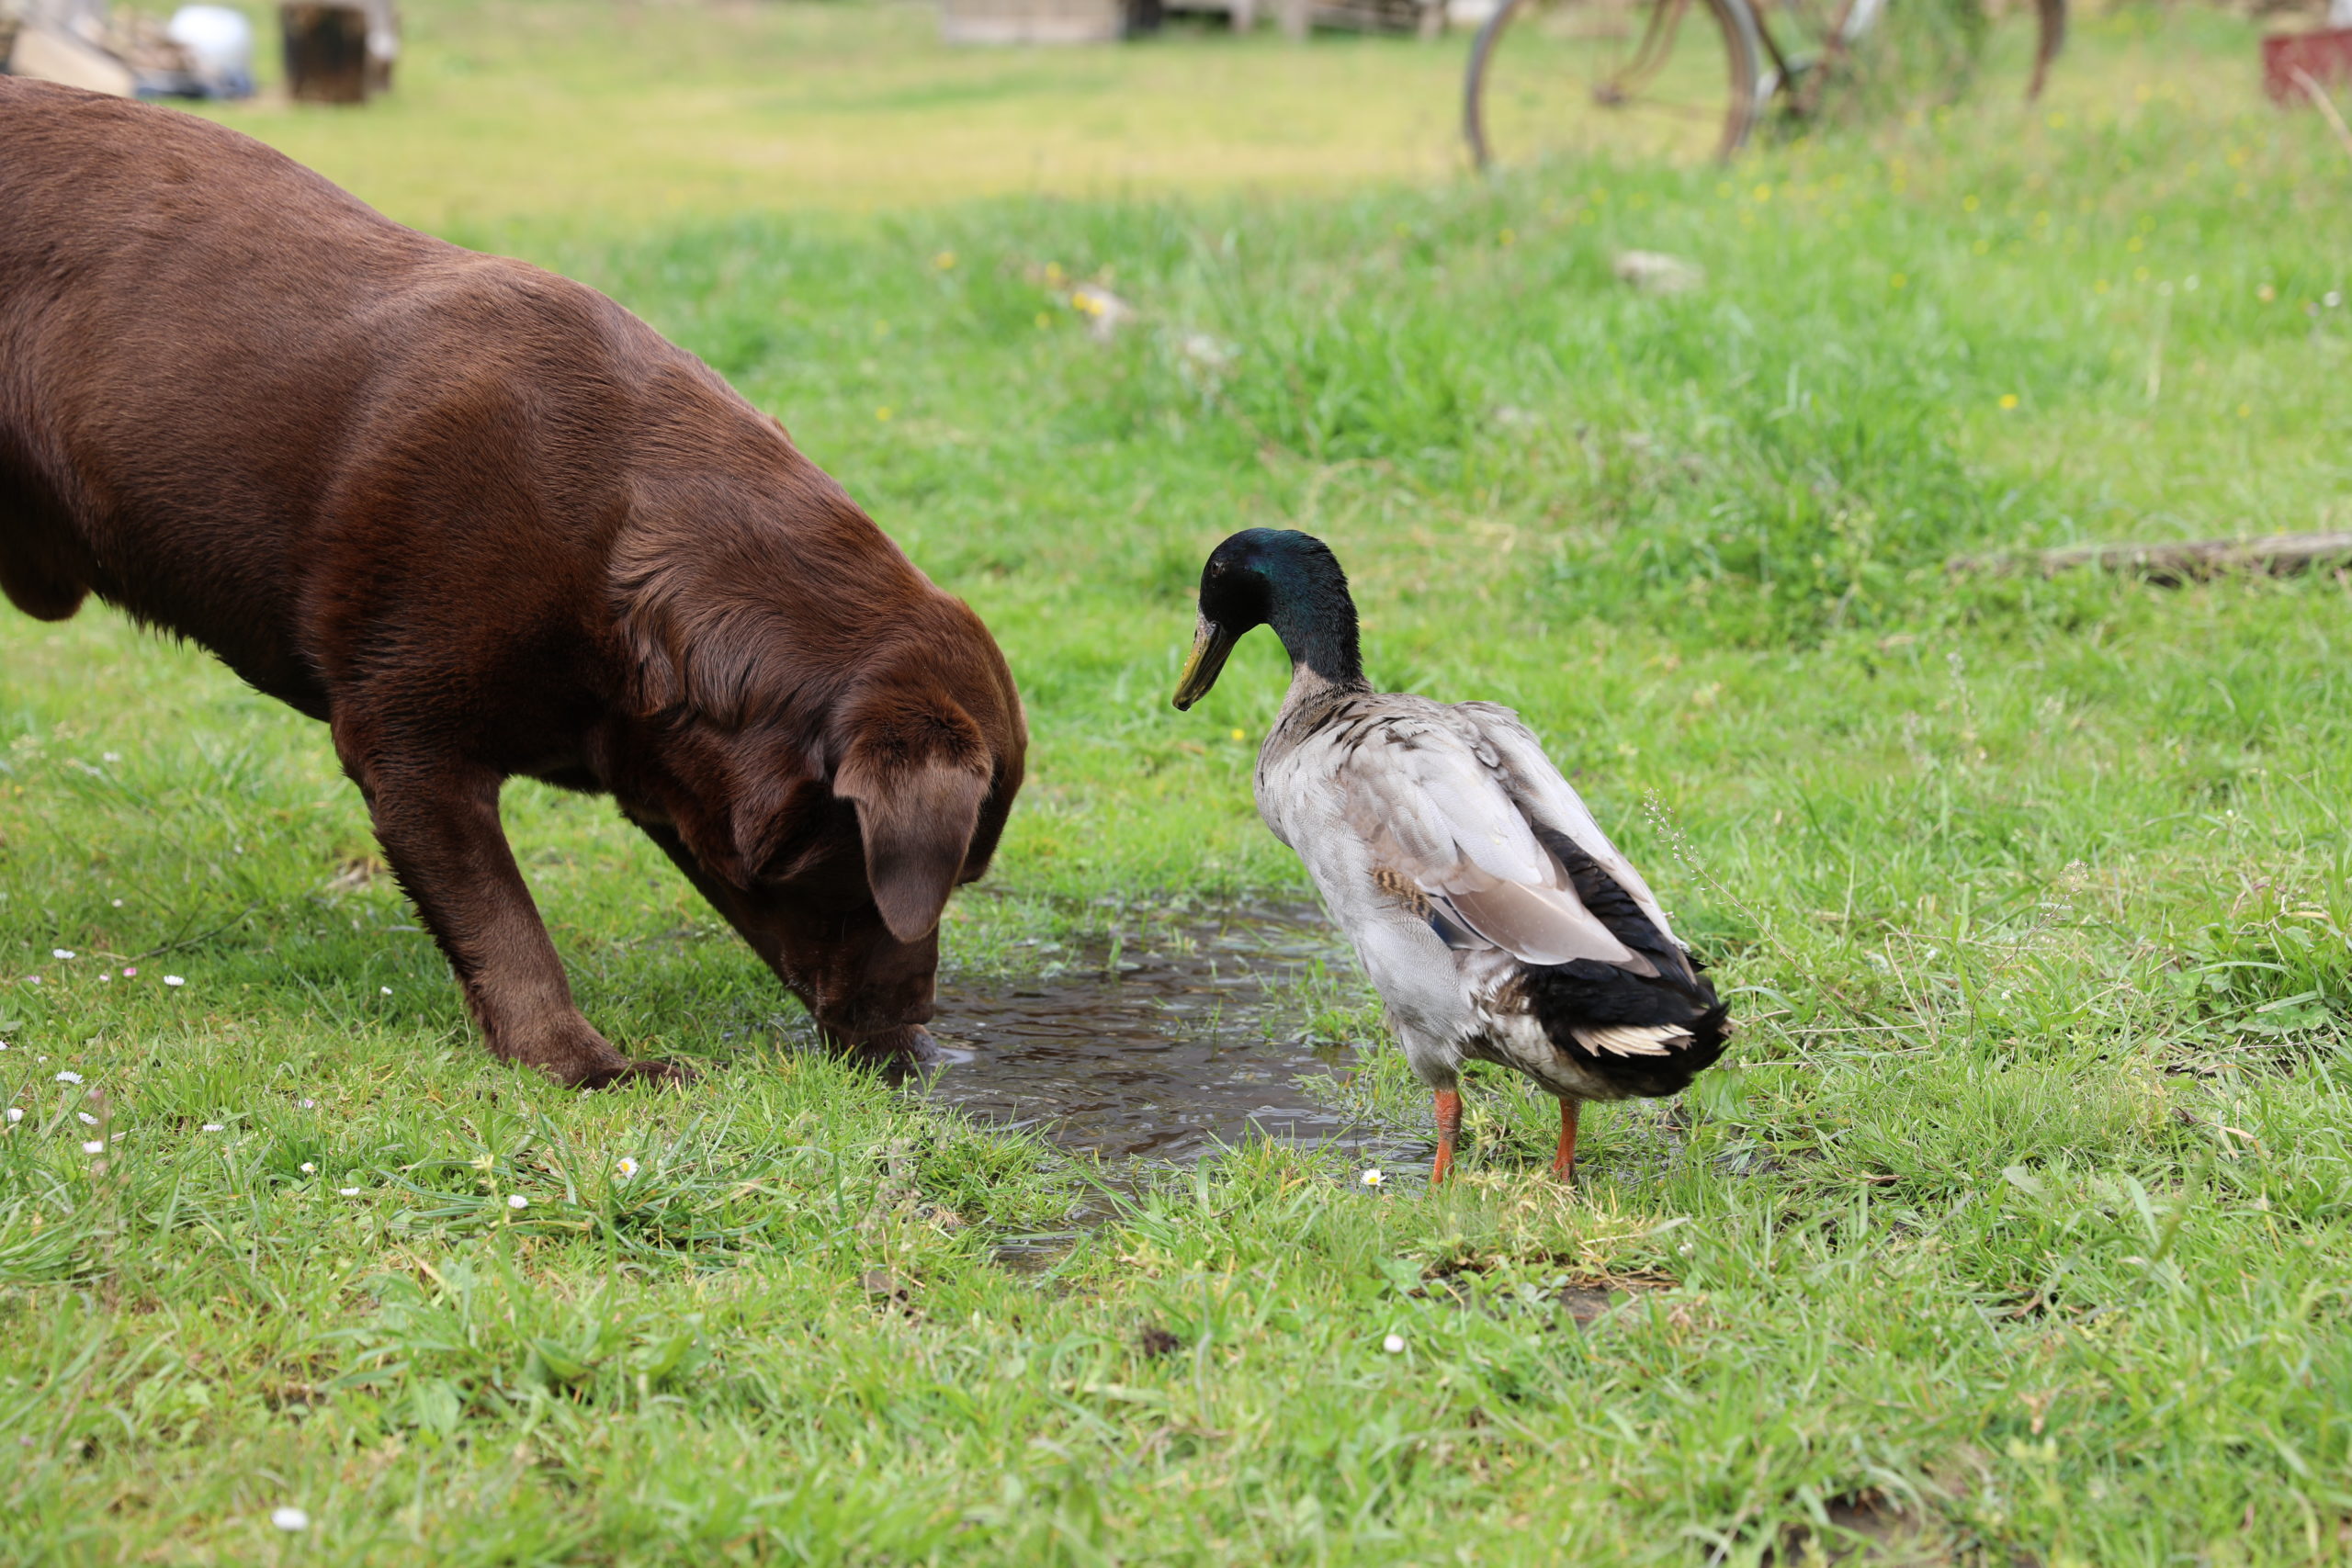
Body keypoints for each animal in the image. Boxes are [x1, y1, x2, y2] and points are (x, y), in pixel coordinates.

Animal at [2, 80, 1030, 1086]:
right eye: (936, 882)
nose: (917, 1040)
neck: (614, 564)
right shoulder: (408, 740)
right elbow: (506, 923)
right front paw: (583, 1063)